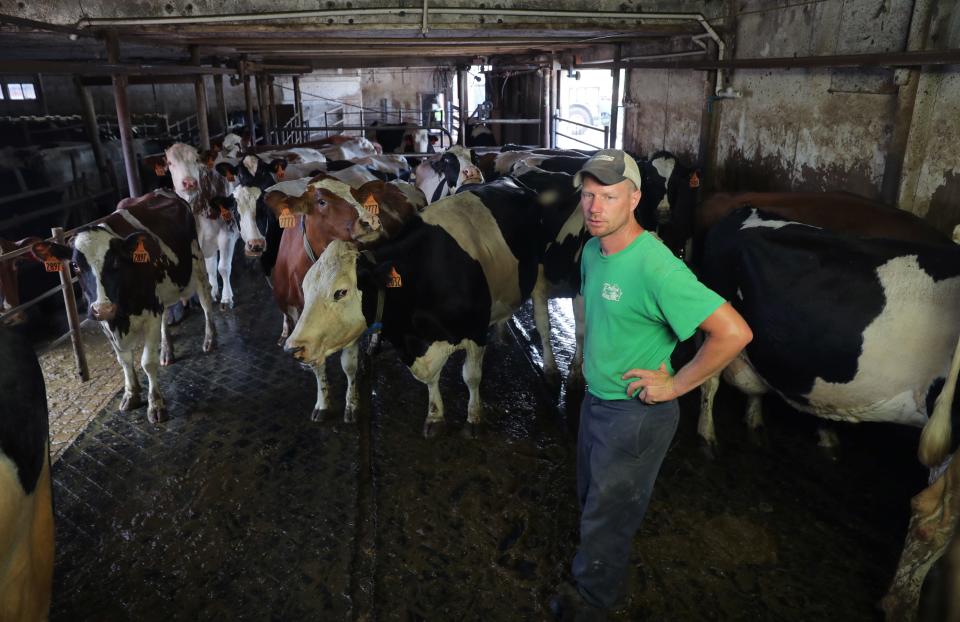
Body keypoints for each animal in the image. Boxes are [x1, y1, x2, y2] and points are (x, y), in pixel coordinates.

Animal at [33, 191, 216, 424]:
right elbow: (124, 360)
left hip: (198, 263)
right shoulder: (106, 322)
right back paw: (167, 351)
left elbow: (147, 362)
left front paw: (156, 404)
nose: (103, 308)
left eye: (116, 261)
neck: (120, 317)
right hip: (160, 293)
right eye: (74, 266)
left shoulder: (150, 313)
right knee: (166, 315)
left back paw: (209, 340)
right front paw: (131, 394)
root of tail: (160, 191)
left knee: (206, 302)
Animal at [165, 143, 242, 310]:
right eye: (170, 163)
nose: (189, 182)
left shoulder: (228, 233)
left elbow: (223, 268)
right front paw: (213, 292)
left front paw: (227, 298)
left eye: (196, 160)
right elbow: (210, 268)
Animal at [264, 174, 426, 424]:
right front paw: (322, 404)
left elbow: (348, 365)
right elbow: (316, 364)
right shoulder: (301, 321)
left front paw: (351, 405)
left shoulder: (351, 318)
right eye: (321, 201)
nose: (371, 220)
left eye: (355, 194)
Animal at [284, 177, 540, 438]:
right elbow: (430, 379)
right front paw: (435, 416)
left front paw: (473, 419)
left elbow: (472, 376)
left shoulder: (476, 332)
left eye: (341, 292)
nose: (293, 347)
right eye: (305, 289)